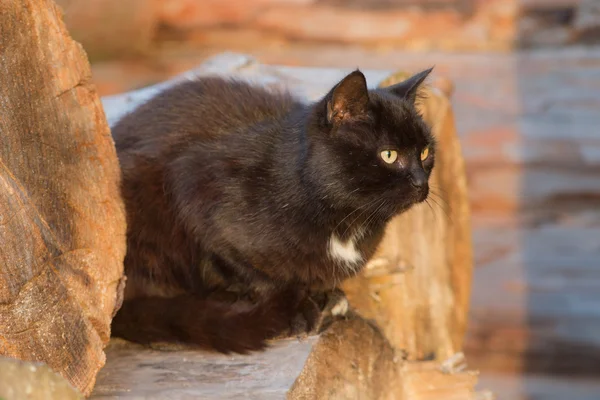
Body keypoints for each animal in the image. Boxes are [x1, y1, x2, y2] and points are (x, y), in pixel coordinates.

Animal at [110, 68, 434, 354]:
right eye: (389, 155)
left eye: (425, 152)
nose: (421, 182)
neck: (349, 221)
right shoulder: (194, 190)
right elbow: (253, 273)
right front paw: (294, 308)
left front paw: (327, 296)